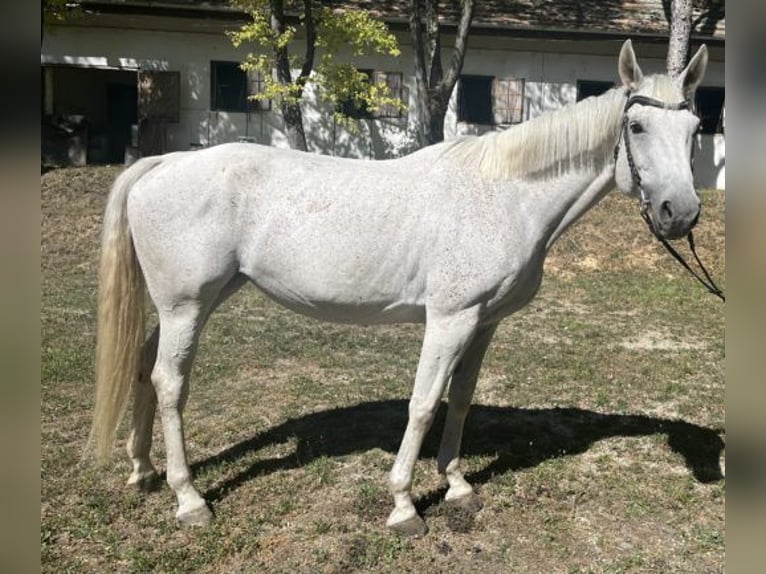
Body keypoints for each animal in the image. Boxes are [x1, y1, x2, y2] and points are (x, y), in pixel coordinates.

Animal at [90, 40, 709, 536]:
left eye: (695, 130)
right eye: (637, 128)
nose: (680, 213)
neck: (505, 195)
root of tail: (163, 162)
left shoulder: (483, 322)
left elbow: (461, 398)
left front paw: (457, 485)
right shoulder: (450, 319)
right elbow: (423, 403)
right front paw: (404, 507)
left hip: (195, 301)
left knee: (144, 366)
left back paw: (143, 471)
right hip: (187, 304)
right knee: (169, 382)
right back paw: (188, 499)